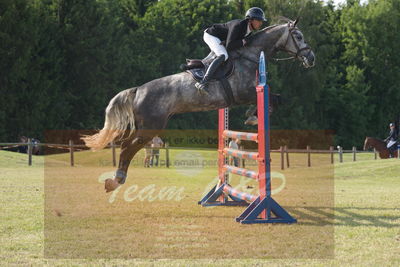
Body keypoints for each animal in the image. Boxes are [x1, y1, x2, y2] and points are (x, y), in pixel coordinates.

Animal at [83, 19, 316, 195]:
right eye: (299, 36)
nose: (311, 58)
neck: (250, 55)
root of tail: (138, 89)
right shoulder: (245, 92)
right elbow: (273, 99)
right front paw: (254, 116)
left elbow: (274, 99)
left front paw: (253, 115)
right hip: (150, 128)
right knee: (127, 147)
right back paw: (116, 180)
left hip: (146, 127)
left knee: (127, 146)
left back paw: (115, 180)